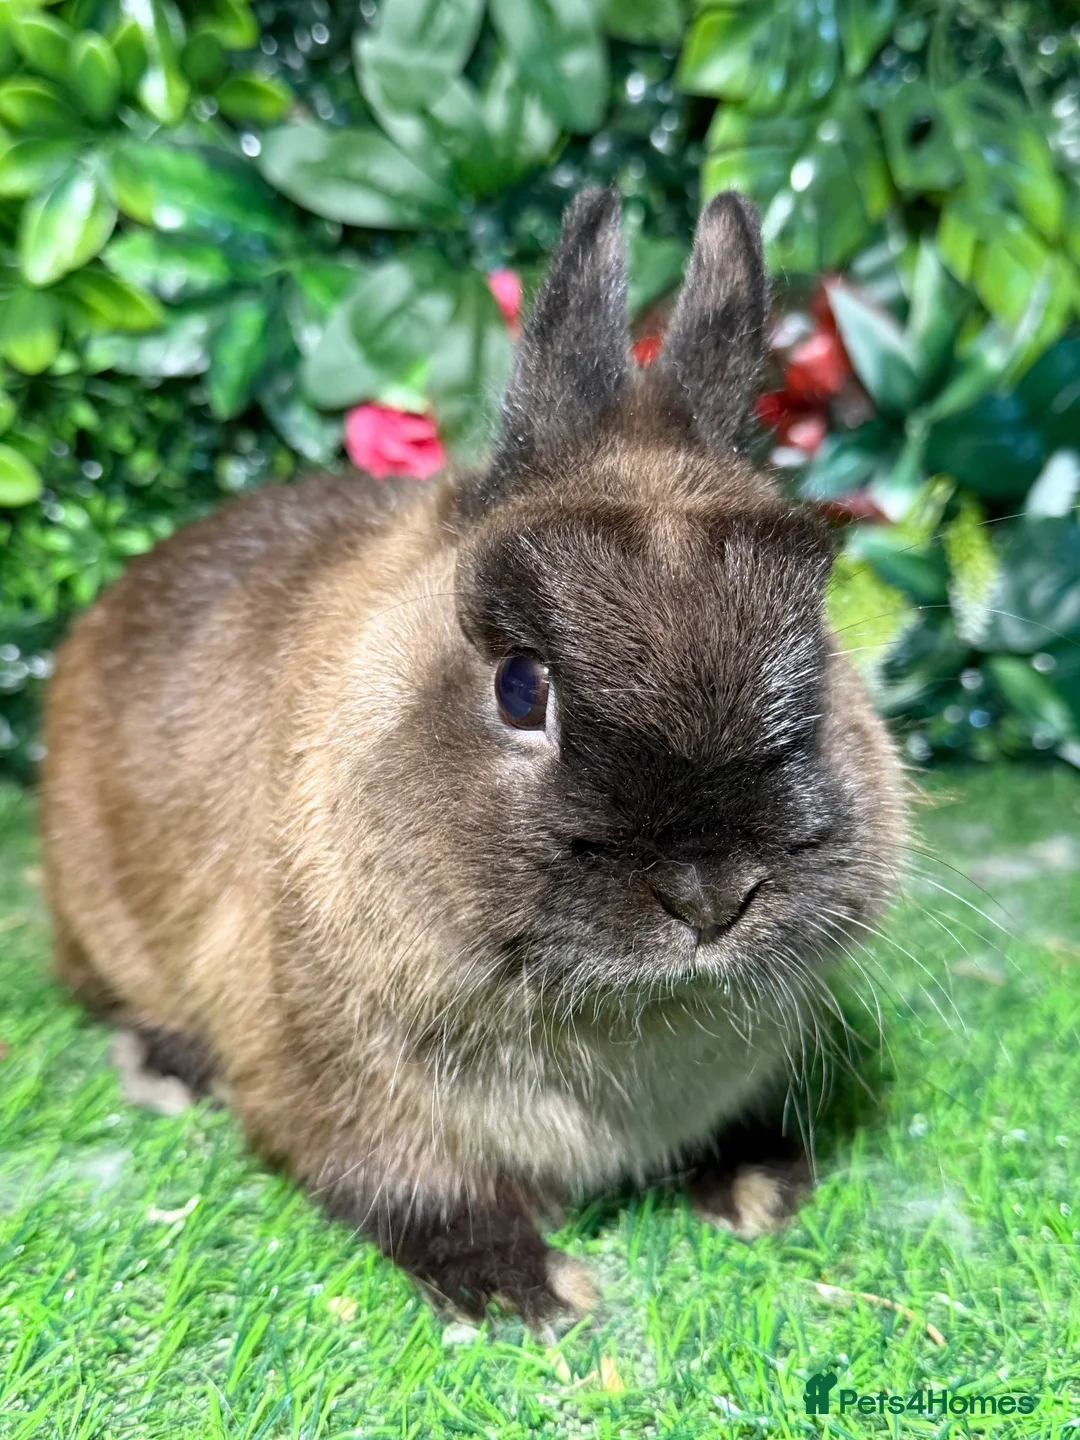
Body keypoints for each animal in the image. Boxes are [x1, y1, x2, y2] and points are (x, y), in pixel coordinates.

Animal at [40, 188, 906, 1323]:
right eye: (520, 689)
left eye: (818, 656)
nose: (711, 892)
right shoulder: (324, 1074)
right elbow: (405, 1185)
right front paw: (532, 1291)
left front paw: (759, 1184)